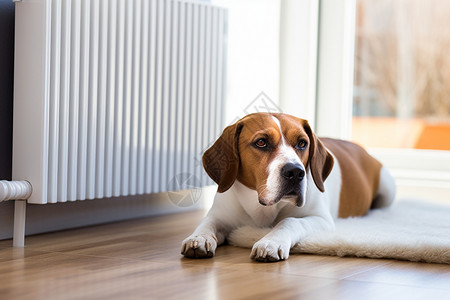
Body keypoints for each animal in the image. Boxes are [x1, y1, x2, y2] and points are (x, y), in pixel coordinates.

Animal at [181, 111, 396, 262]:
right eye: (261, 142)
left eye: (302, 143)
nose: (295, 172)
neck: (263, 209)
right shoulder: (220, 215)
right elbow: (206, 223)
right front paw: (199, 238)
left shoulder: (322, 219)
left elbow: (291, 221)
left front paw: (270, 241)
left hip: (388, 189)